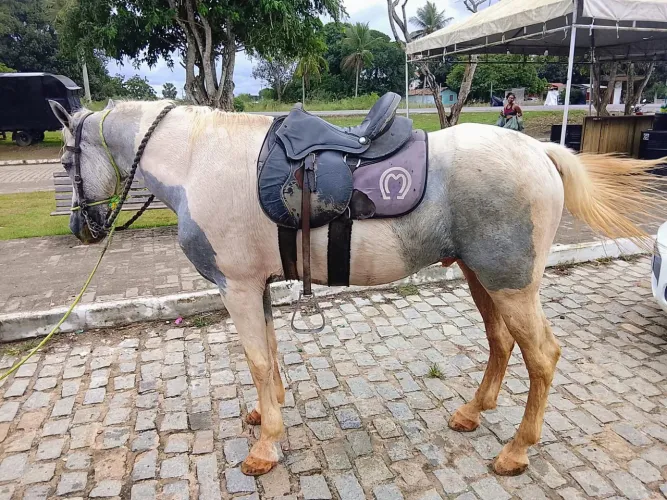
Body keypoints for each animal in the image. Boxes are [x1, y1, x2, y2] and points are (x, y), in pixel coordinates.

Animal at [48, 99, 663, 477]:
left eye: (66, 160)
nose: (82, 227)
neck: (201, 160)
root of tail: (540, 151)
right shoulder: (257, 286)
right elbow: (269, 355)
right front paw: (269, 412)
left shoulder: (238, 288)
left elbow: (255, 360)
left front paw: (266, 447)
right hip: (481, 277)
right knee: (501, 342)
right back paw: (473, 412)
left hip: (511, 283)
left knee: (541, 356)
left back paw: (516, 451)